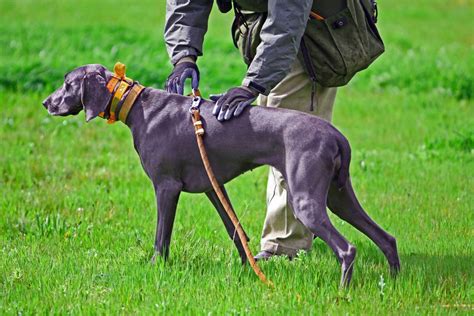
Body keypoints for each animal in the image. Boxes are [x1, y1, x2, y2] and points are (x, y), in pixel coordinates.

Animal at [43, 64, 400, 286]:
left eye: (67, 83)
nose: (47, 102)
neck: (138, 108)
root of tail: (336, 135)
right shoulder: (214, 188)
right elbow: (236, 230)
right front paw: (248, 269)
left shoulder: (166, 187)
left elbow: (162, 237)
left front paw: (156, 267)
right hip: (338, 197)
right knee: (386, 238)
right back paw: (394, 281)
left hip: (306, 201)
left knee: (347, 249)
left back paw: (343, 292)